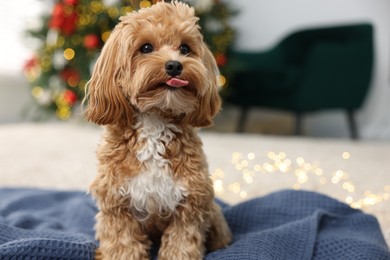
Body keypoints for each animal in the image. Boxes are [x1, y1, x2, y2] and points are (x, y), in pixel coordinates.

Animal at [83, 1, 232, 258]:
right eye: (146, 47)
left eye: (185, 48)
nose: (174, 65)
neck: (155, 120)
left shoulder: (191, 204)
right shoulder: (116, 204)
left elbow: (181, 244)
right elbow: (123, 244)